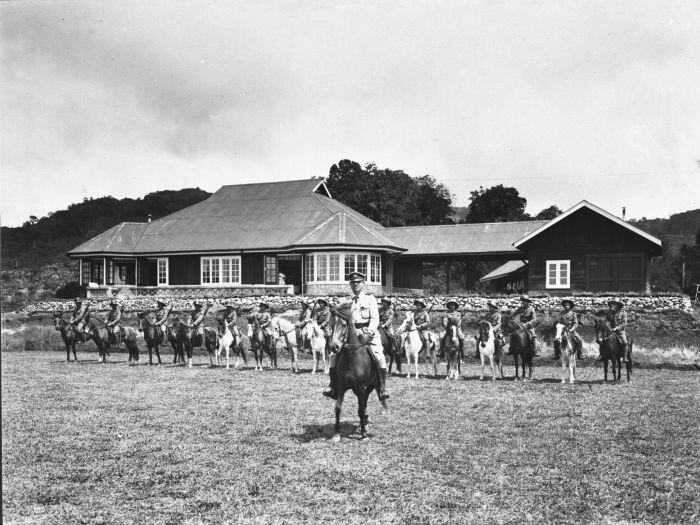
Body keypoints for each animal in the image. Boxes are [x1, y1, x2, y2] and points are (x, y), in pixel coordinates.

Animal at [328, 302, 388, 442]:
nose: (334, 347)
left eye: (344, 325)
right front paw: (336, 434)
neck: (352, 358)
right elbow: (338, 408)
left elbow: (360, 409)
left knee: (366, 402)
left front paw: (364, 434)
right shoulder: (341, 386)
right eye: (331, 325)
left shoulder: (361, 387)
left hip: (371, 386)